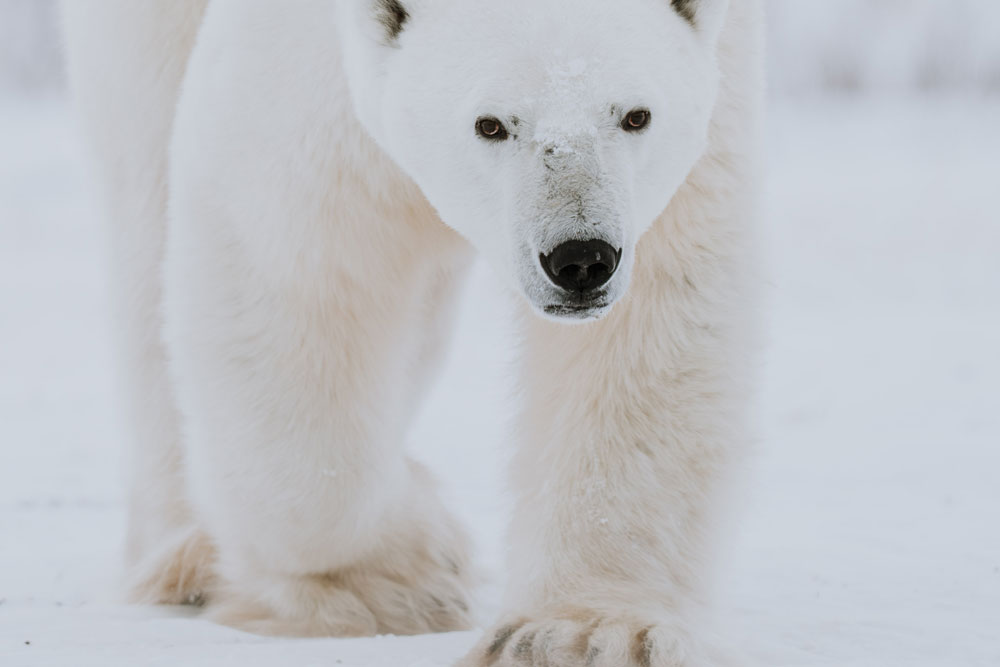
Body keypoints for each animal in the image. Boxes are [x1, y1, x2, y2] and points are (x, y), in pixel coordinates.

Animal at [62, 0, 764, 664]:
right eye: (490, 124)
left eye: (636, 116)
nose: (580, 259)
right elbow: (292, 268)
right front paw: (388, 581)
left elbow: (661, 304)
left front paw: (581, 634)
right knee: (146, 179)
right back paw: (188, 556)